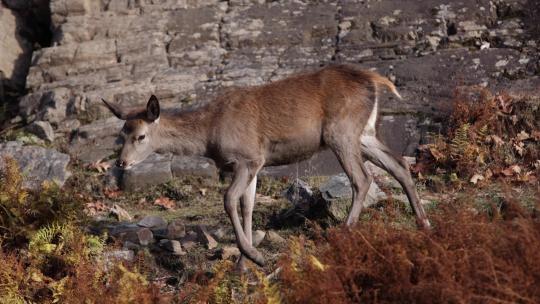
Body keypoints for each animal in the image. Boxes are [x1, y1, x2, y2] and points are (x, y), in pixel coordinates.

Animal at [100, 64, 430, 270]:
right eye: (122, 134)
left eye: (141, 136)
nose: (121, 162)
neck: (210, 135)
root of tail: (375, 80)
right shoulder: (254, 165)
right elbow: (247, 205)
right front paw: (243, 264)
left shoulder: (248, 158)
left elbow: (229, 200)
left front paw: (254, 257)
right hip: (365, 133)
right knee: (399, 165)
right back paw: (424, 223)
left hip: (341, 131)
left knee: (362, 178)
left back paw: (344, 232)